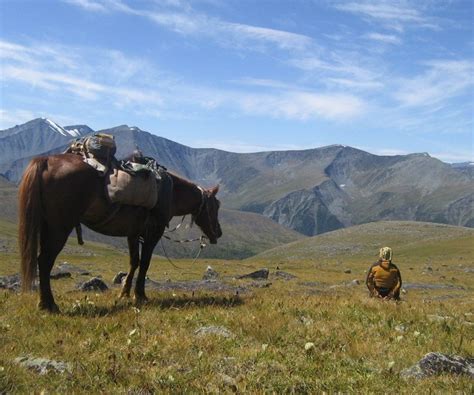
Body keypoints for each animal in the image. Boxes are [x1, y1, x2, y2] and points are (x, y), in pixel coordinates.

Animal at [18, 155, 222, 312]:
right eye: (216, 205)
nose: (218, 233)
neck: (170, 191)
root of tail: (46, 160)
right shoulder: (153, 233)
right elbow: (145, 263)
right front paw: (140, 295)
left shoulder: (133, 234)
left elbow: (134, 262)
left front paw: (124, 293)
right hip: (59, 229)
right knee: (45, 262)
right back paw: (49, 305)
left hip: (48, 227)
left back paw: (45, 303)